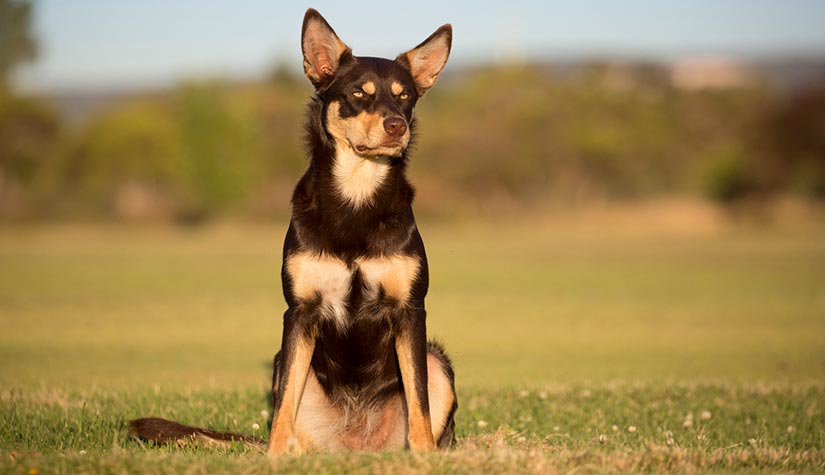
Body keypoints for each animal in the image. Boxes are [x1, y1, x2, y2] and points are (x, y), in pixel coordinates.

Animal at [132, 6, 460, 454]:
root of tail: (354, 447)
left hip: (436, 360)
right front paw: (273, 456)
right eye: (359, 94)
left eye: (404, 95)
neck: (356, 197)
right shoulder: (300, 313)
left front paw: (425, 457)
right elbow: (284, 404)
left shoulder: (410, 311)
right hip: (284, 364)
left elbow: (420, 403)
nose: (396, 126)